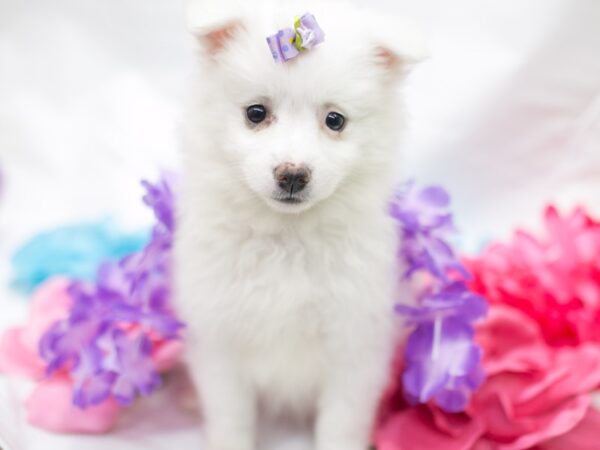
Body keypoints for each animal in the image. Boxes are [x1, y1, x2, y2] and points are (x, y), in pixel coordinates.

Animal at [176, 1, 424, 448]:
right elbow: (232, 420)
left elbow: (340, 425)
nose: (292, 174)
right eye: (256, 113)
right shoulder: (220, 344)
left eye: (335, 120)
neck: (286, 237)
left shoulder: (354, 347)